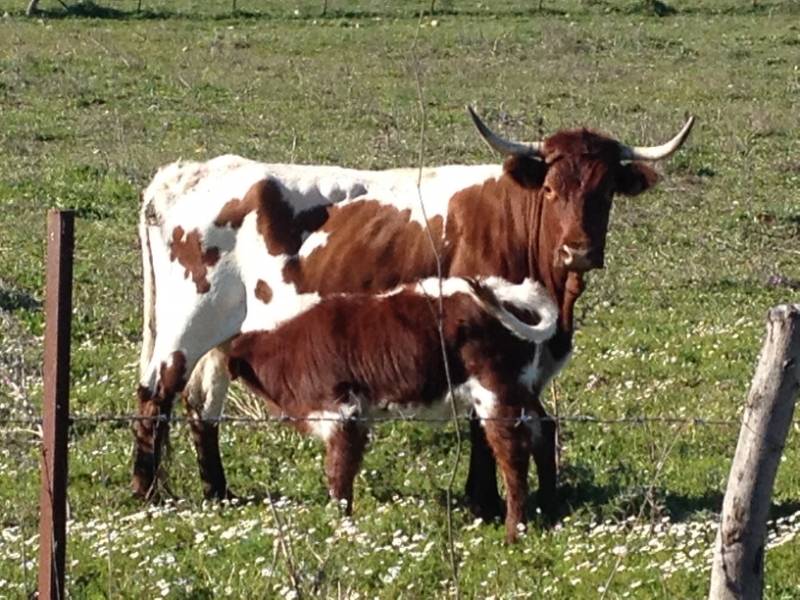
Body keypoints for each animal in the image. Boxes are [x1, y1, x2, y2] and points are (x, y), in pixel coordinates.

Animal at [226, 276, 559, 542]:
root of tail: (506, 291)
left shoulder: (342, 412)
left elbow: (339, 473)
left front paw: (342, 528)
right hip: (521, 388)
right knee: (544, 430)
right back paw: (549, 510)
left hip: (495, 390)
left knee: (512, 453)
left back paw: (513, 533)